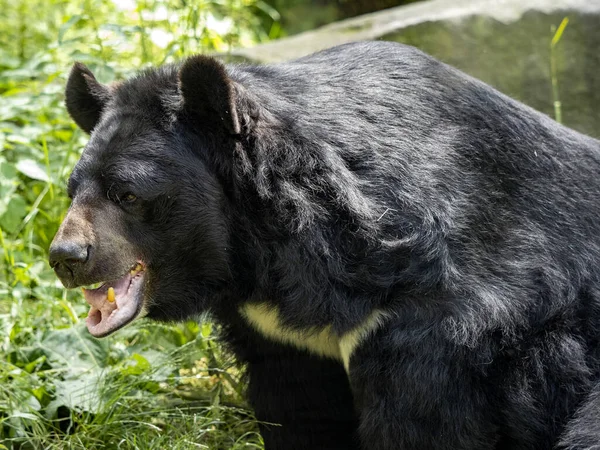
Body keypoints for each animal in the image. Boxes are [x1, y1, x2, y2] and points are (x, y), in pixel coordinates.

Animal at [49, 40, 600, 448]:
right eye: (73, 190)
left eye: (127, 194)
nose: (66, 258)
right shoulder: (281, 340)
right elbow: (299, 411)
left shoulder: (433, 324)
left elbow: (423, 419)